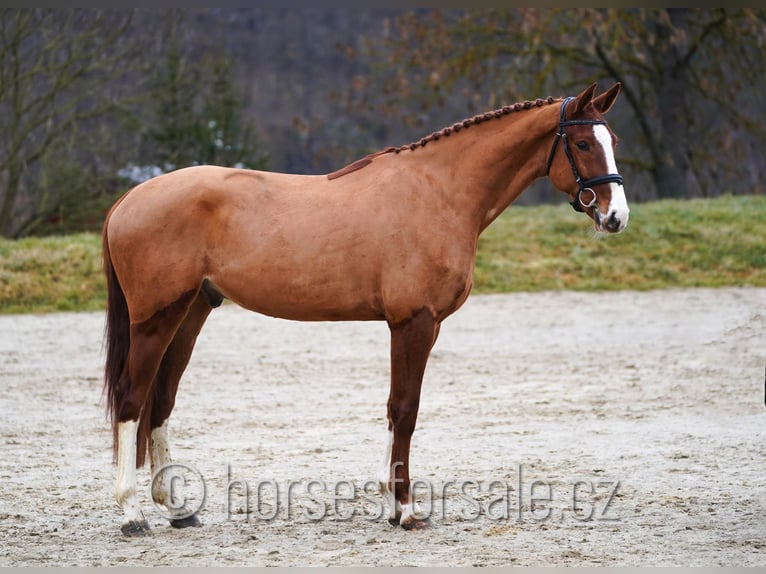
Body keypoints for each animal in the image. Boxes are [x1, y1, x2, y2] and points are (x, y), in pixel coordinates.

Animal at [102, 82, 628, 536]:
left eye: (613, 139)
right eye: (583, 143)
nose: (616, 216)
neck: (438, 191)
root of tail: (129, 198)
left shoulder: (416, 327)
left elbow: (394, 410)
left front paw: (391, 505)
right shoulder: (414, 324)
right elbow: (407, 409)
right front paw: (408, 510)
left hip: (191, 313)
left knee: (162, 401)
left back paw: (177, 509)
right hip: (156, 319)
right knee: (131, 398)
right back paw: (132, 514)